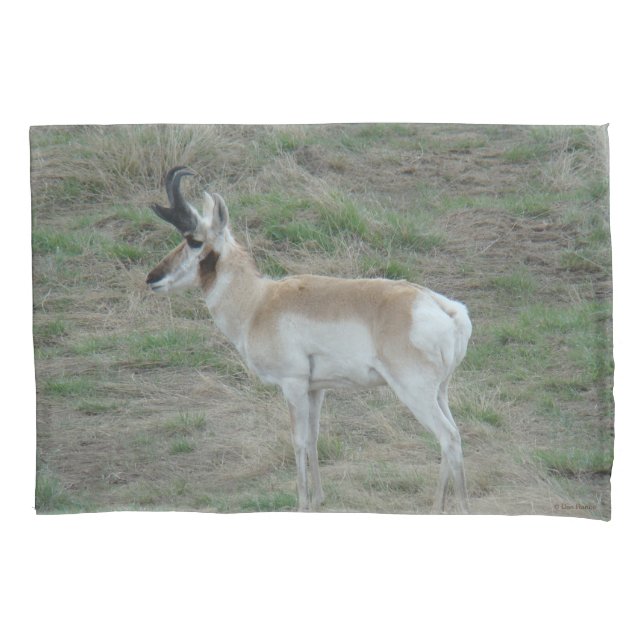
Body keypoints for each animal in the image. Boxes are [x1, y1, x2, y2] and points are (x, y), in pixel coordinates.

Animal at [146, 167, 472, 513]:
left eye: (194, 241)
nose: (152, 278)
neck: (259, 302)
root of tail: (441, 307)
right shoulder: (317, 390)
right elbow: (315, 438)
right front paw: (318, 499)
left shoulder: (293, 384)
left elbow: (298, 440)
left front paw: (301, 503)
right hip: (439, 392)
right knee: (452, 436)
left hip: (415, 392)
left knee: (448, 437)